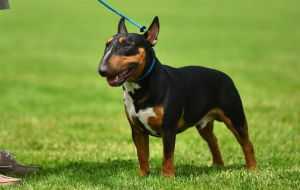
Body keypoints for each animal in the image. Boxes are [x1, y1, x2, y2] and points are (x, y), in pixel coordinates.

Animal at [98, 16, 255, 177]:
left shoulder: (168, 129)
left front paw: (167, 177)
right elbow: (142, 155)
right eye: (107, 45)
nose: (101, 70)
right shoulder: (137, 130)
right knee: (213, 140)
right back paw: (218, 165)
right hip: (203, 125)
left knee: (247, 143)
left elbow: (167, 155)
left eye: (127, 45)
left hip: (235, 118)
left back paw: (252, 169)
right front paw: (143, 175)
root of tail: (225, 76)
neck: (142, 88)